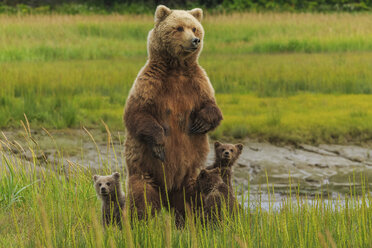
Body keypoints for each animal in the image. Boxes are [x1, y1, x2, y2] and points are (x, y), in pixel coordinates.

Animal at [125, 4, 222, 220]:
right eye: (178, 28)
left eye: (194, 28)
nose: (195, 40)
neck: (177, 68)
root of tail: (166, 193)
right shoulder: (150, 83)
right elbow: (137, 114)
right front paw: (160, 143)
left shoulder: (199, 83)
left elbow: (212, 108)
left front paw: (200, 123)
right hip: (144, 170)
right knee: (142, 196)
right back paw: (142, 220)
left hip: (190, 174)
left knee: (190, 201)